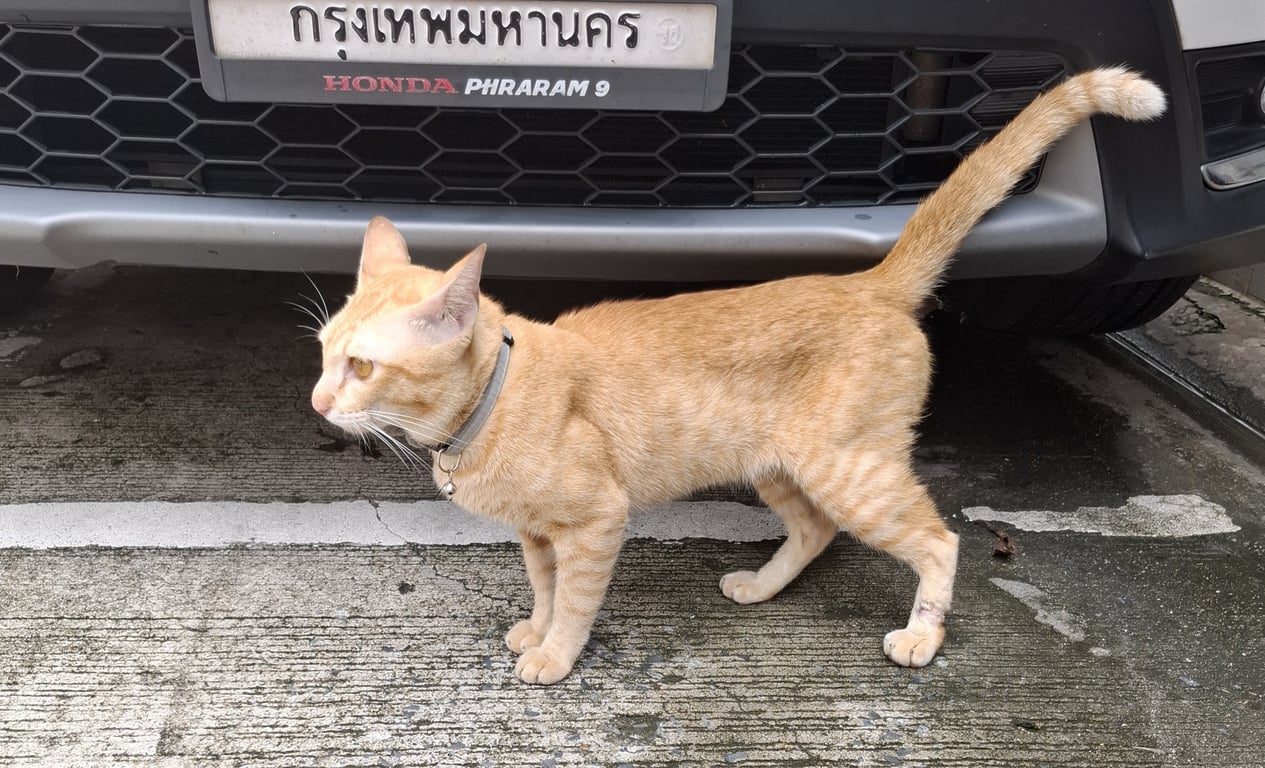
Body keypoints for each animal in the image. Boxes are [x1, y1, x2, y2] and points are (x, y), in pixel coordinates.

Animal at [310, 68, 1165, 685]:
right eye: (322, 352)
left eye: (362, 365)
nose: (316, 400)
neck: (494, 401)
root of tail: (868, 284)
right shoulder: (538, 533)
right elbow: (545, 586)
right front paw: (537, 626)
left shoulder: (594, 522)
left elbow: (576, 601)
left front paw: (554, 654)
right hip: (782, 468)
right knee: (816, 530)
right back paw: (760, 585)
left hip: (850, 470)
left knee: (937, 538)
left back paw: (921, 636)